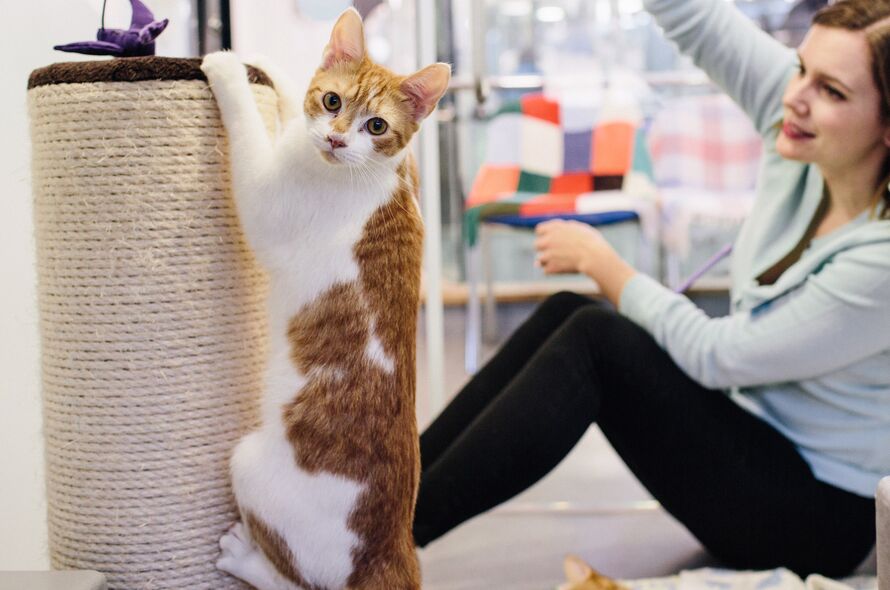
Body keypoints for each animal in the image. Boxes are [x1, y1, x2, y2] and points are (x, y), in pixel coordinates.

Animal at [202, 9, 450, 590]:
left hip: (247, 462)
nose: (336, 140)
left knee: (297, 582)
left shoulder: (266, 205)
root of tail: (395, 548)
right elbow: (290, 97)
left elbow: (249, 132)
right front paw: (265, 67)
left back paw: (243, 559)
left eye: (376, 126)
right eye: (332, 101)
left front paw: (226, 68)